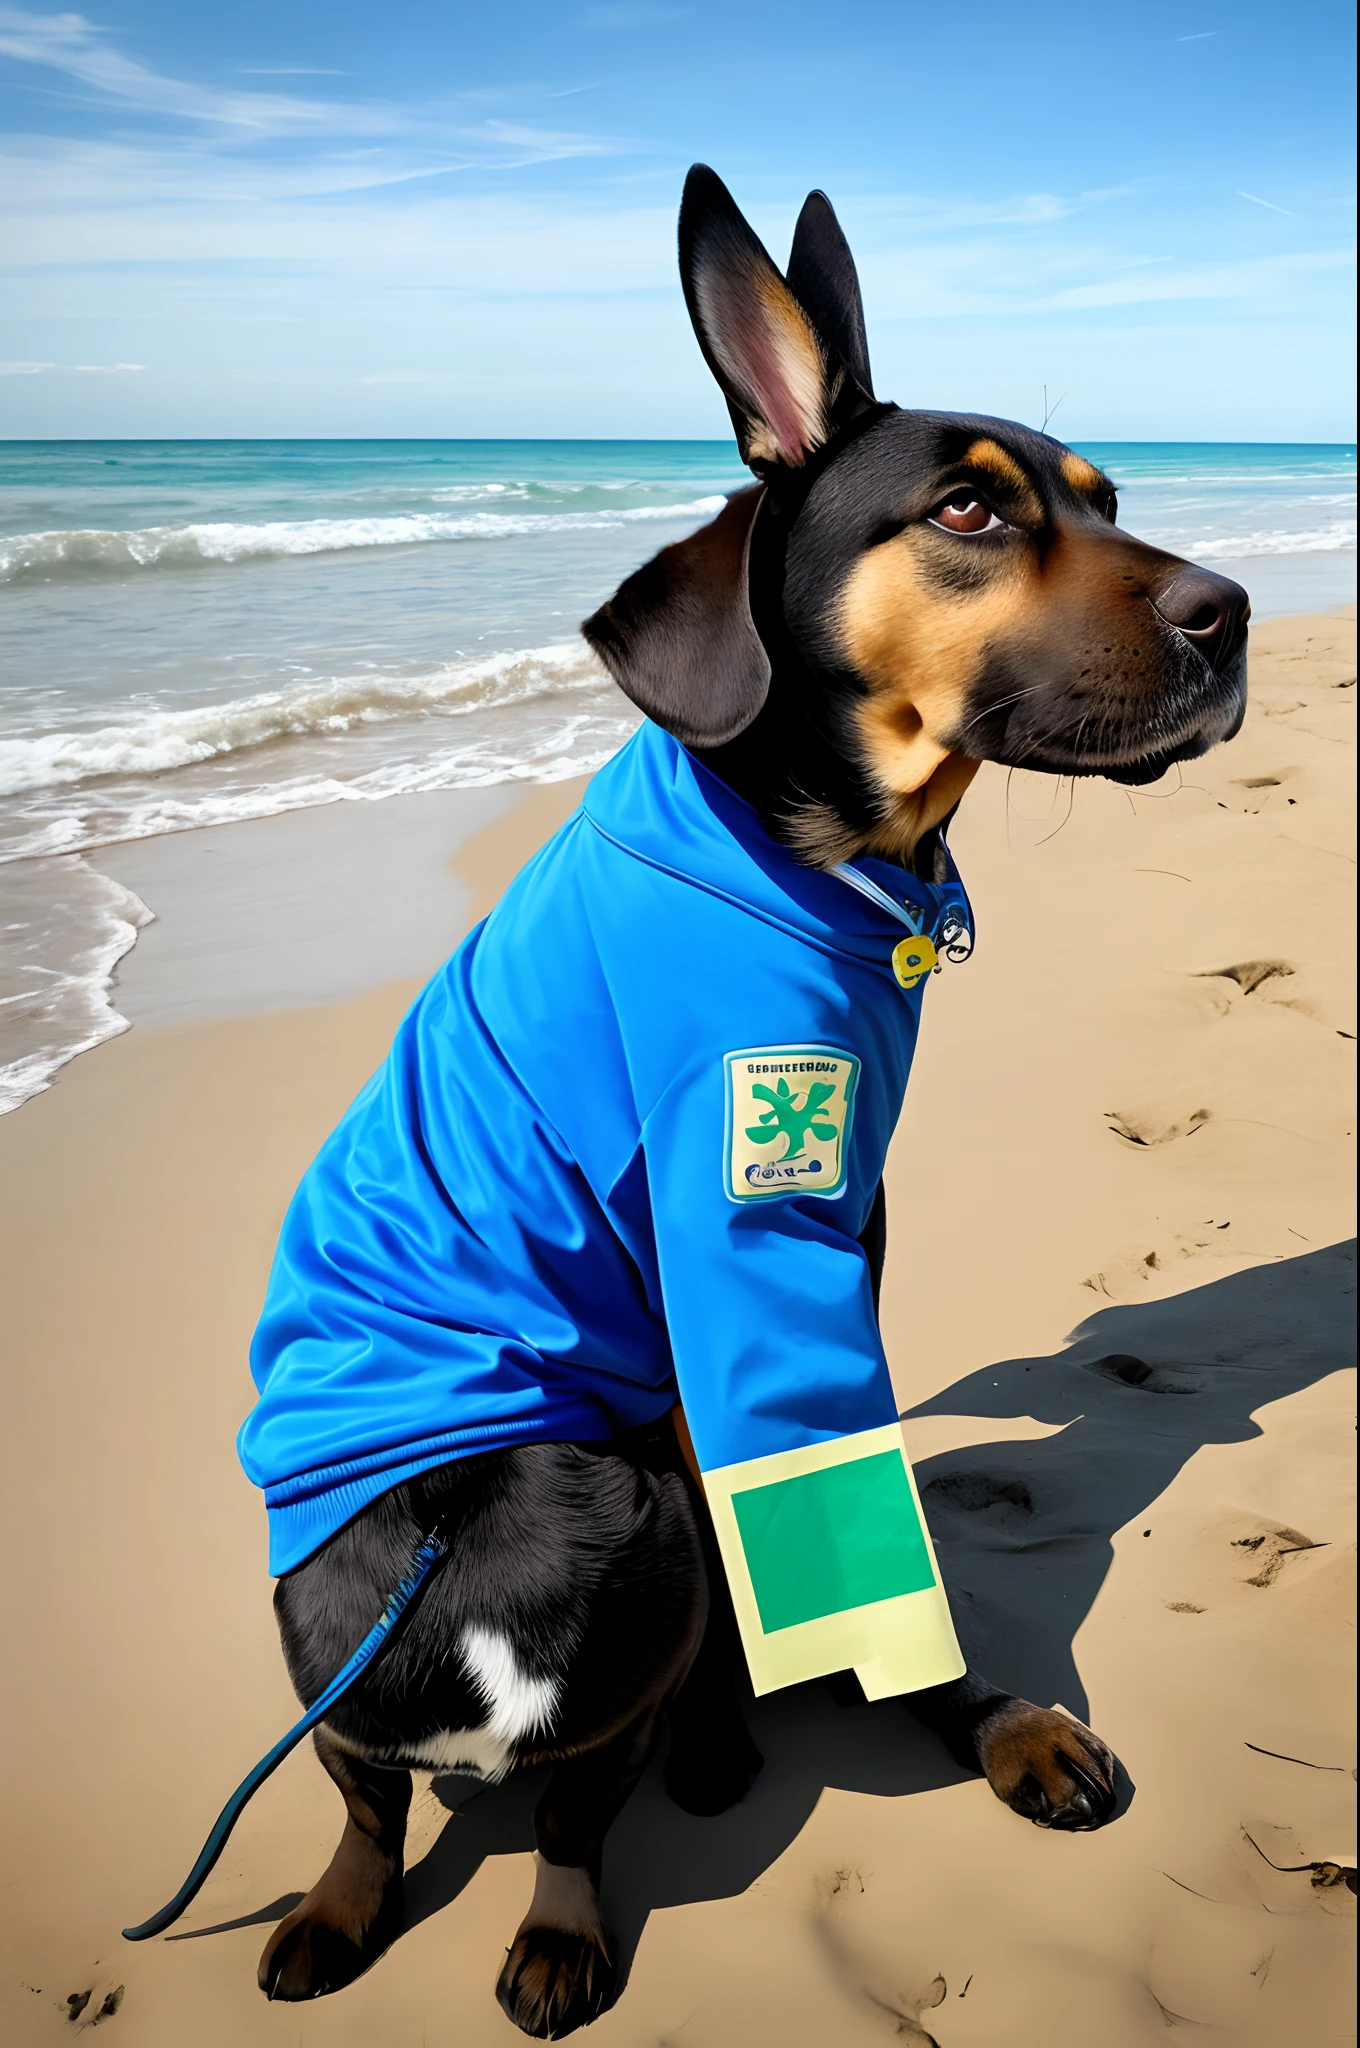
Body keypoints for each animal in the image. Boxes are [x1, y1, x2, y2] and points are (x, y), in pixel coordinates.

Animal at [246, 172, 1253, 2031]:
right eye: (966, 510)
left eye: (1107, 499)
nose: (1236, 616)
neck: (802, 848)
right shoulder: (754, 1224)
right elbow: (833, 1522)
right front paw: (940, 1706)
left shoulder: (823, 1238)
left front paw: (968, 1721)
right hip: (537, 1500)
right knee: (386, 1780)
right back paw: (401, 1890)